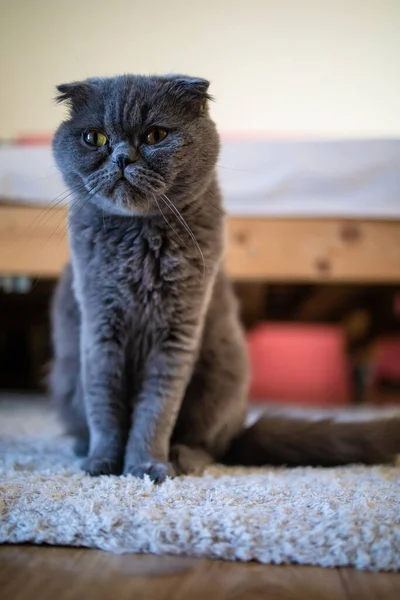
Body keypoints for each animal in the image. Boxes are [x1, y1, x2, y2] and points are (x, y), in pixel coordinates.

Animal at [50, 74, 400, 482]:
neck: (138, 242)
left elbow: (155, 411)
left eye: (155, 135)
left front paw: (146, 466)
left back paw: (183, 458)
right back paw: (82, 448)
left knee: (215, 446)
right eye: (95, 138)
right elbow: (104, 405)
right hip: (68, 374)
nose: (122, 157)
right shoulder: (99, 328)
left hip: (223, 367)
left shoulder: (177, 334)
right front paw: (102, 464)